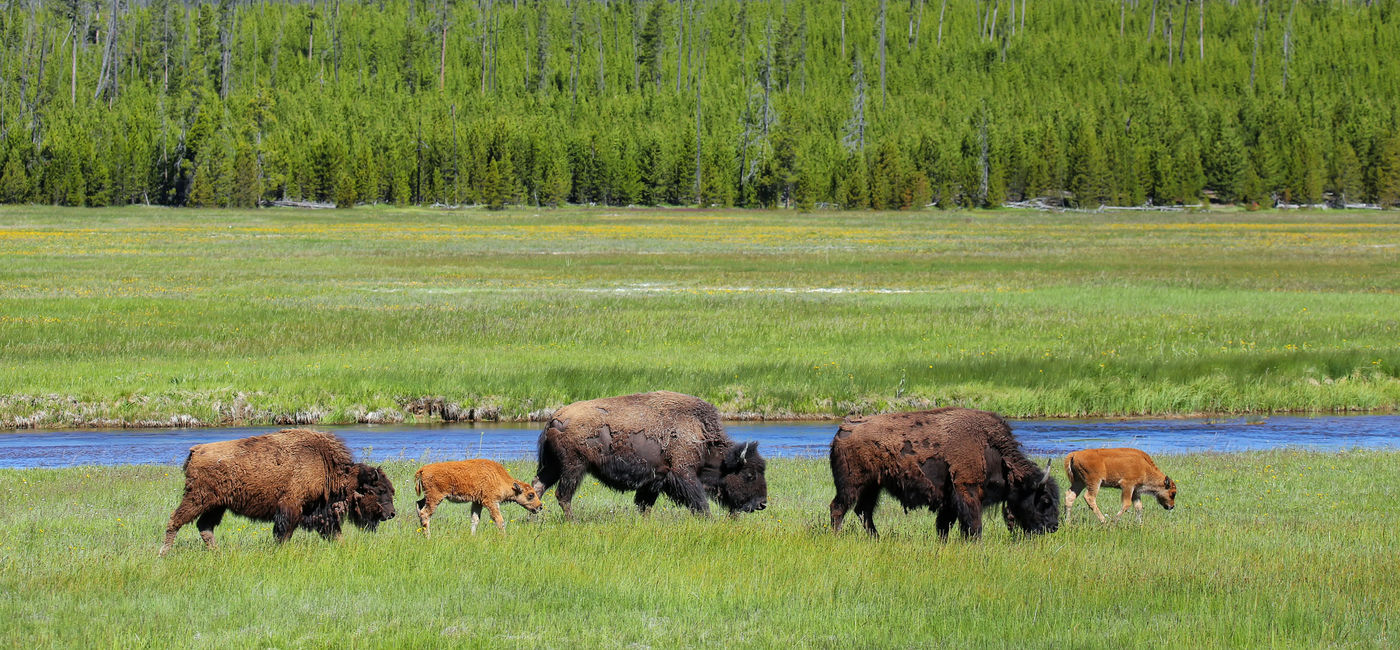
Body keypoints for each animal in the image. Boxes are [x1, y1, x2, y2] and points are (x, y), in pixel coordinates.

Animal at [160, 428, 397, 554]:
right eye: (378, 490)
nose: (392, 513)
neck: (325, 466)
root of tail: (196, 450)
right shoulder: (291, 508)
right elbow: (284, 533)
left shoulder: (320, 513)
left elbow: (334, 533)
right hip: (197, 498)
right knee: (176, 520)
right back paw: (164, 553)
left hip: (217, 505)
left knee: (205, 527)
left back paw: (217, 553)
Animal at [411, 459, 543, 535]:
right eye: (530, 495)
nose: (540, 506)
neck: (499, 478)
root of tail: (423, 470)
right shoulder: (491, 502)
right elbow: (499, 520)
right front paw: (504, 537)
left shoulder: (477, 502)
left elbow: (475, 520)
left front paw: (472, 536)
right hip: (435, 498)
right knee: (425, 514)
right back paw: (428, 536)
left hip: (428, 497)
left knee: (419, 505)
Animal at [532, 392, 772, 518]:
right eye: (749, 475)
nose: (762, 504)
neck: (700, 436)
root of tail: (555, 416)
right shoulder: (683, 474)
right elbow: (700, 504)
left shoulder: (655, 479)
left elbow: (644, 505)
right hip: (574, 467)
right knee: (563, 495)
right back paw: (572, 522)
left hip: (552, 467)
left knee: (537, 487)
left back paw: (533, 518)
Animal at [823, 409, 1052, 540]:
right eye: (1045, 501)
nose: (1053, 527)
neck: (989, 448)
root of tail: (842, 430)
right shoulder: (967, 491)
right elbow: (973, 522)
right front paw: (975, 542)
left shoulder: (950, 500)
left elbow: (945, 524)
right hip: (851, 485)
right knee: (839, 508)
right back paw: (837, 537)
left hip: (873, 487)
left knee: (864, 511)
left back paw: (876, 538)